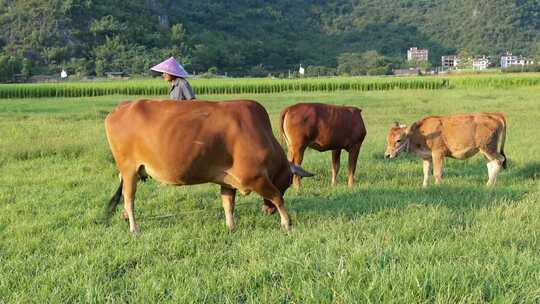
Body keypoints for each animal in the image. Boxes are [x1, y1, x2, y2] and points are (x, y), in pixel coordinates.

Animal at [104, 98, 312, 234]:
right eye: (287, 182)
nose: (267, 211)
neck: (261, 134)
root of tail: (119, 108)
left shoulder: (228, 182)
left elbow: (228, 204)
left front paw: (231, 227)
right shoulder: (255, 178)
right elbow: (277, 197)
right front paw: (286, 223)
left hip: (131, 172)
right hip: (129, 170)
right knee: (129, 199)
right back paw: (134, 228)